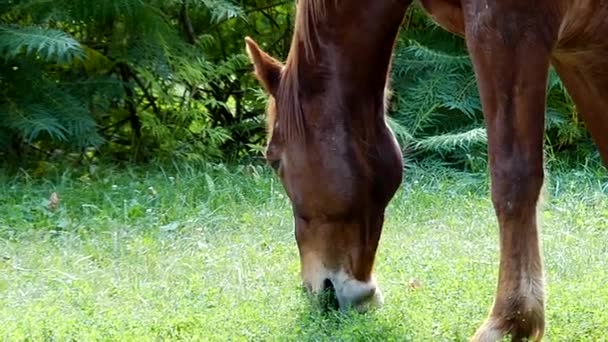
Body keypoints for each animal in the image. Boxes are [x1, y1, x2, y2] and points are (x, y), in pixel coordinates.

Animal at [245, 0, 608, 342]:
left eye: (274, 159)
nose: (320, 294)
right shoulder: (575, 49)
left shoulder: (508, 28)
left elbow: (513, 177)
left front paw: (511, 320)